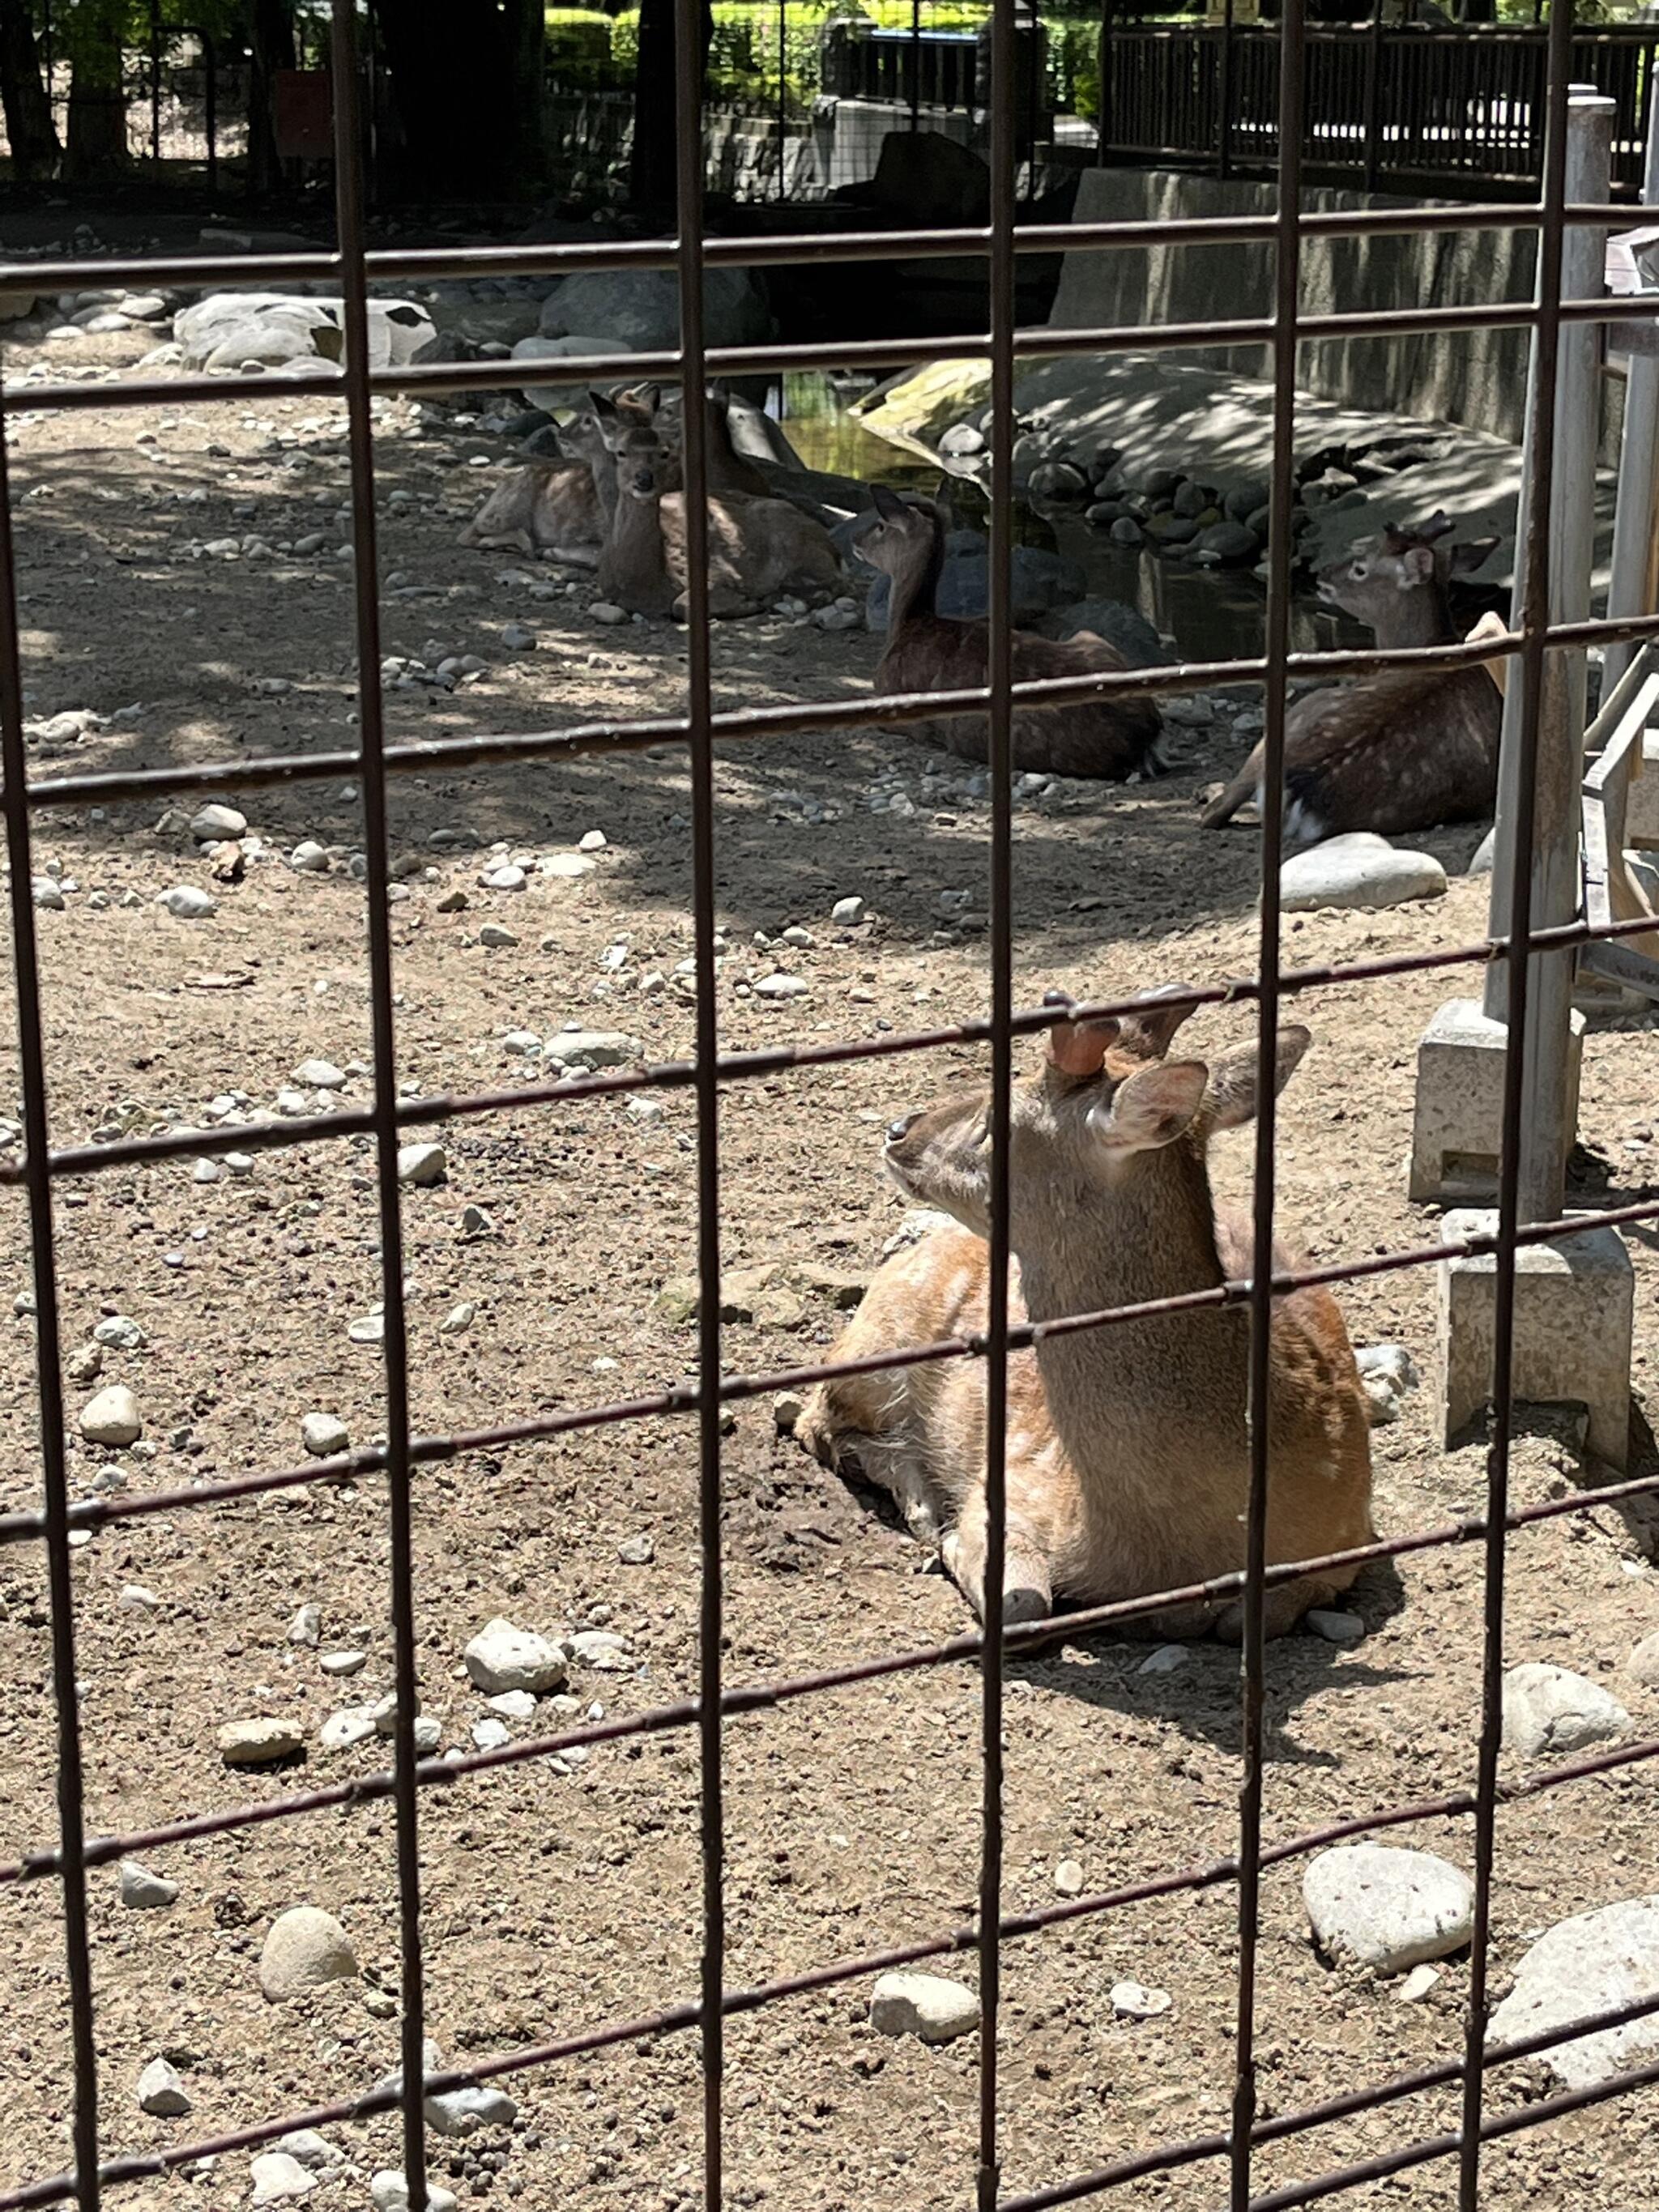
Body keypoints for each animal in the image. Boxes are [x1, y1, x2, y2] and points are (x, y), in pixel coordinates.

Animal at [796, 995, 1380, 1636]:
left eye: (997, 1118)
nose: (898, 1129)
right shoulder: (1012, 1484)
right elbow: (1022, 1602)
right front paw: (951, 1542)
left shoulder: (1347, 1541)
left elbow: (1245, 1621)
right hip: (876, 1345)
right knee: (813, 1418)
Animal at [1203, 513, 1503, 849]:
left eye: (1360, 568)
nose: (1322, 574)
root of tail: (1303, 789)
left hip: (1301, 709)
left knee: (1215, 812)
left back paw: (1210, 791)